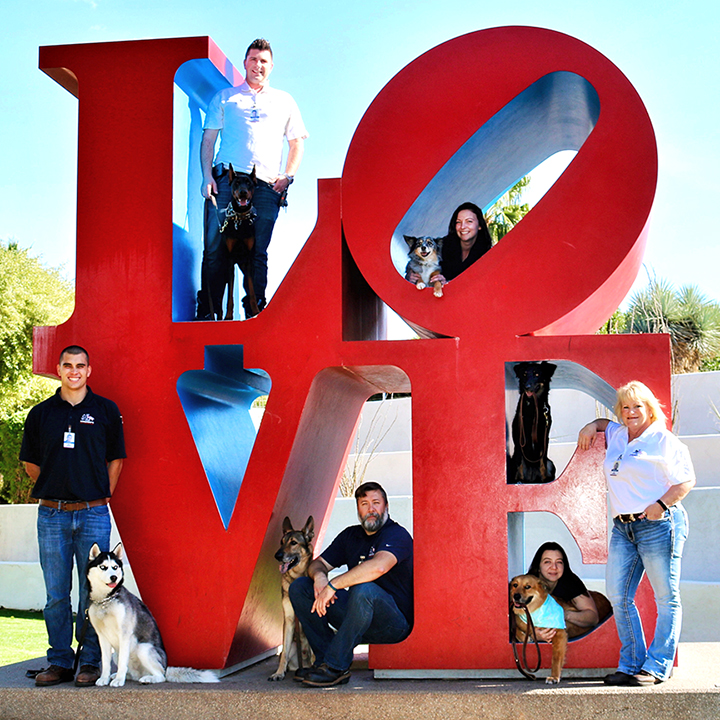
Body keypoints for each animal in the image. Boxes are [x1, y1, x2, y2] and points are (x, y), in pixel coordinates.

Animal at [86, 544, 218, 688]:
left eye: (115, 567)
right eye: (103, 567)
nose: (114, 577)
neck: (105, 600)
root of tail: (166, 668)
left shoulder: (124, 634)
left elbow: (122, 663)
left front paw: (119, 680)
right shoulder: (102, 637)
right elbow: (105, 663)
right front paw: (104, 678)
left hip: (143, 648)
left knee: (161, 676)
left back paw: (147, 679)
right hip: (117, 653)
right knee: (131, 672)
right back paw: (121, 676)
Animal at [218, 165, 260, 322]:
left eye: (248, 183)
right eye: (236, 183)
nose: (242, 192)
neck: (240, 218)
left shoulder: (248, 260)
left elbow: (251, 289)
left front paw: (256, 311)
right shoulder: (230, 261)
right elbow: (230, 293)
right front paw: (228, 316)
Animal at [270, 516, 316, 676]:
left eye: (293, 543)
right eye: (281, 542)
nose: (277, 556)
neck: (296, 578)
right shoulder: (289, 620)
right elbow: (284, 653)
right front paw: (278, 673)